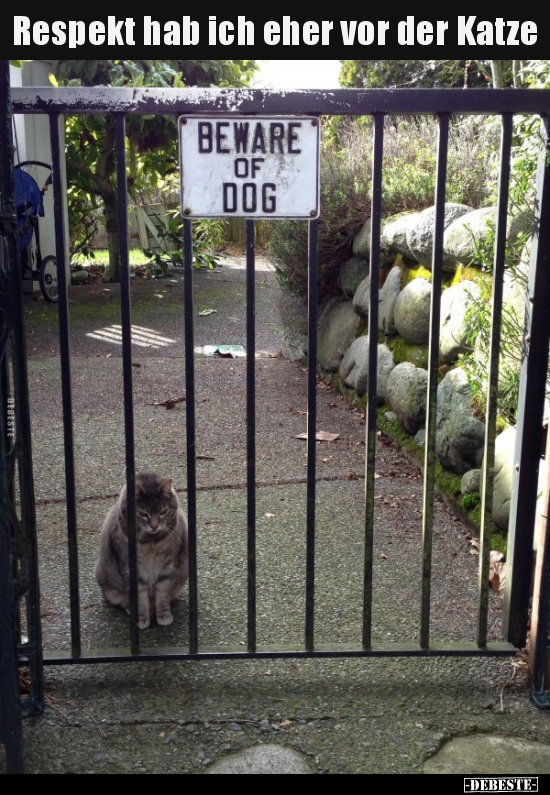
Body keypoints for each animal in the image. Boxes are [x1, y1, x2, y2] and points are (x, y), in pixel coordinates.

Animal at [95, 472, 190, 628]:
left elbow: (162, 595)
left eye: (163, 512)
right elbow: (140, 598)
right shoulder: (132, 569)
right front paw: (141, 618)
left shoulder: (167, 567)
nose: (154, 526)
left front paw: (164, 615)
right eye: (142, 513)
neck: (151, 542)